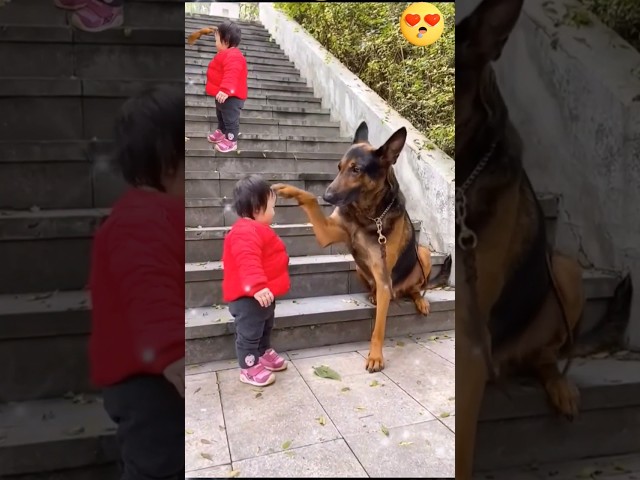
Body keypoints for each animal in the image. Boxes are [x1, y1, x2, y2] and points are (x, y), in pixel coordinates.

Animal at [272, 121, 452, 372]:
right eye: (339, 167)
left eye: (356, 169)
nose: (327, 196)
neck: (368, 215)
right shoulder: (327, 233)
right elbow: (308, 198)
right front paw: (288, 190)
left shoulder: (384, 278)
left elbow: (378, 328)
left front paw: (375, 356)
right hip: (359, 267)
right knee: (378, 289)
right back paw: (374, 296)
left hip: (422, 254)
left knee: (417, 287)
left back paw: (419, 299)